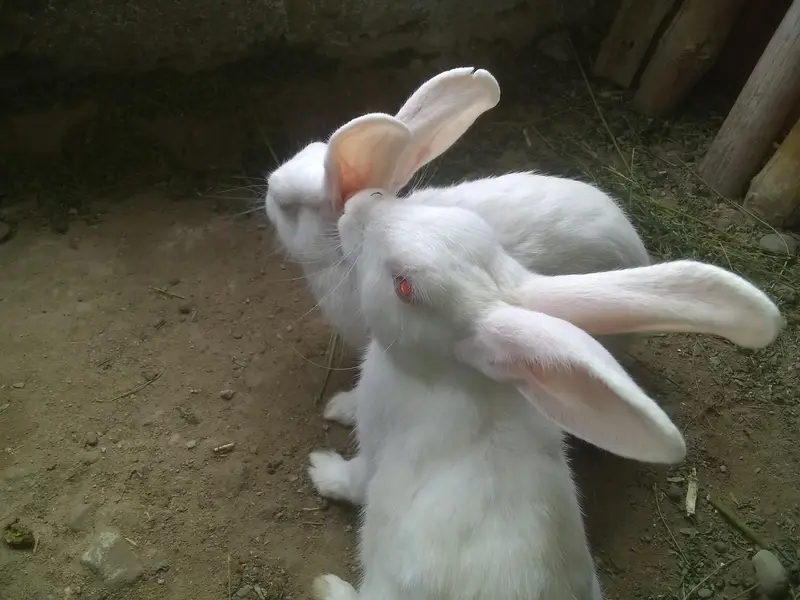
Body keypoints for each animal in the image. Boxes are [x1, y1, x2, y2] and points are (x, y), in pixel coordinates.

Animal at [306, 174, 783, 600]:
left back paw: (328, 586)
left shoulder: (375, 451)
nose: (363, 202)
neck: (451, 376)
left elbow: (353, 479)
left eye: (404, 287)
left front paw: (320, 465)